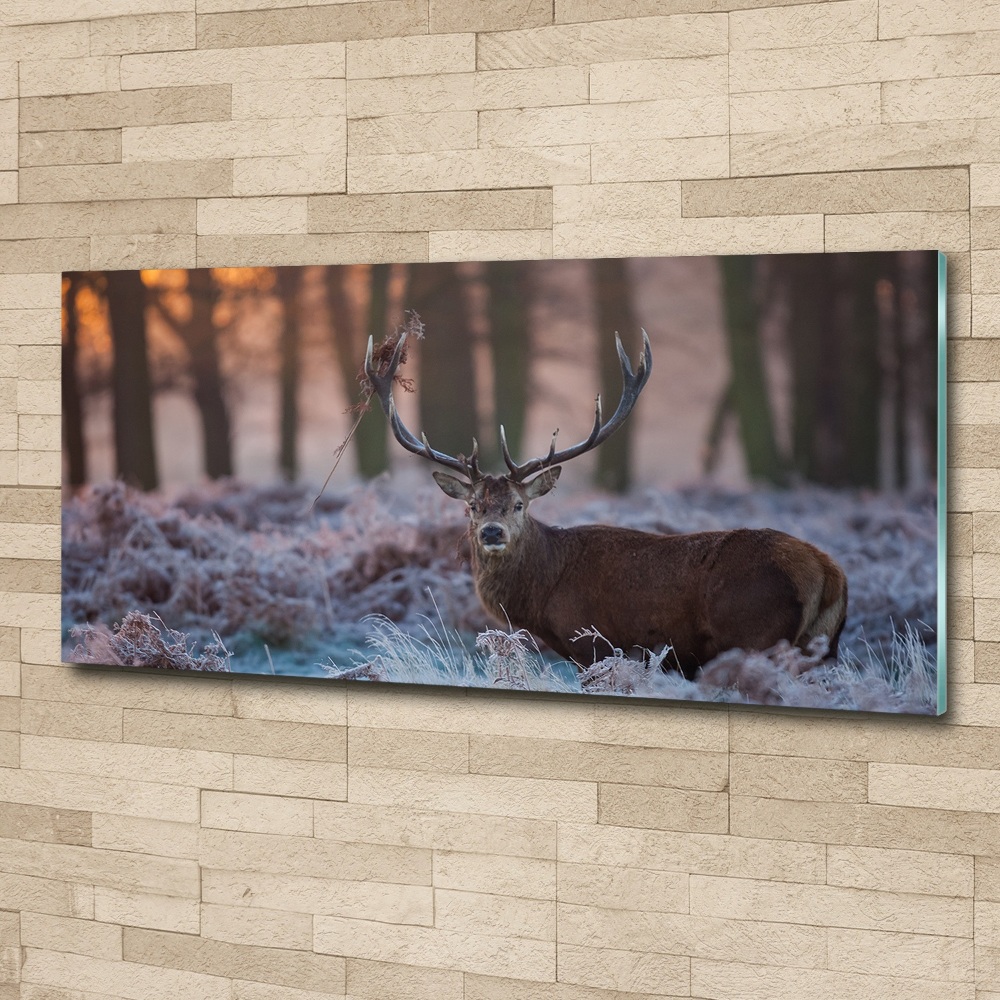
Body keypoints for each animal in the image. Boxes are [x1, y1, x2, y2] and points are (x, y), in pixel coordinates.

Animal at [364, 328, 848, 680]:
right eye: (473, 506)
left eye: (519, 504)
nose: (492, 532)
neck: (542, 594)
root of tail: (828, 573)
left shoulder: (593, 644)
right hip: (822, 648)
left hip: (756, 634)